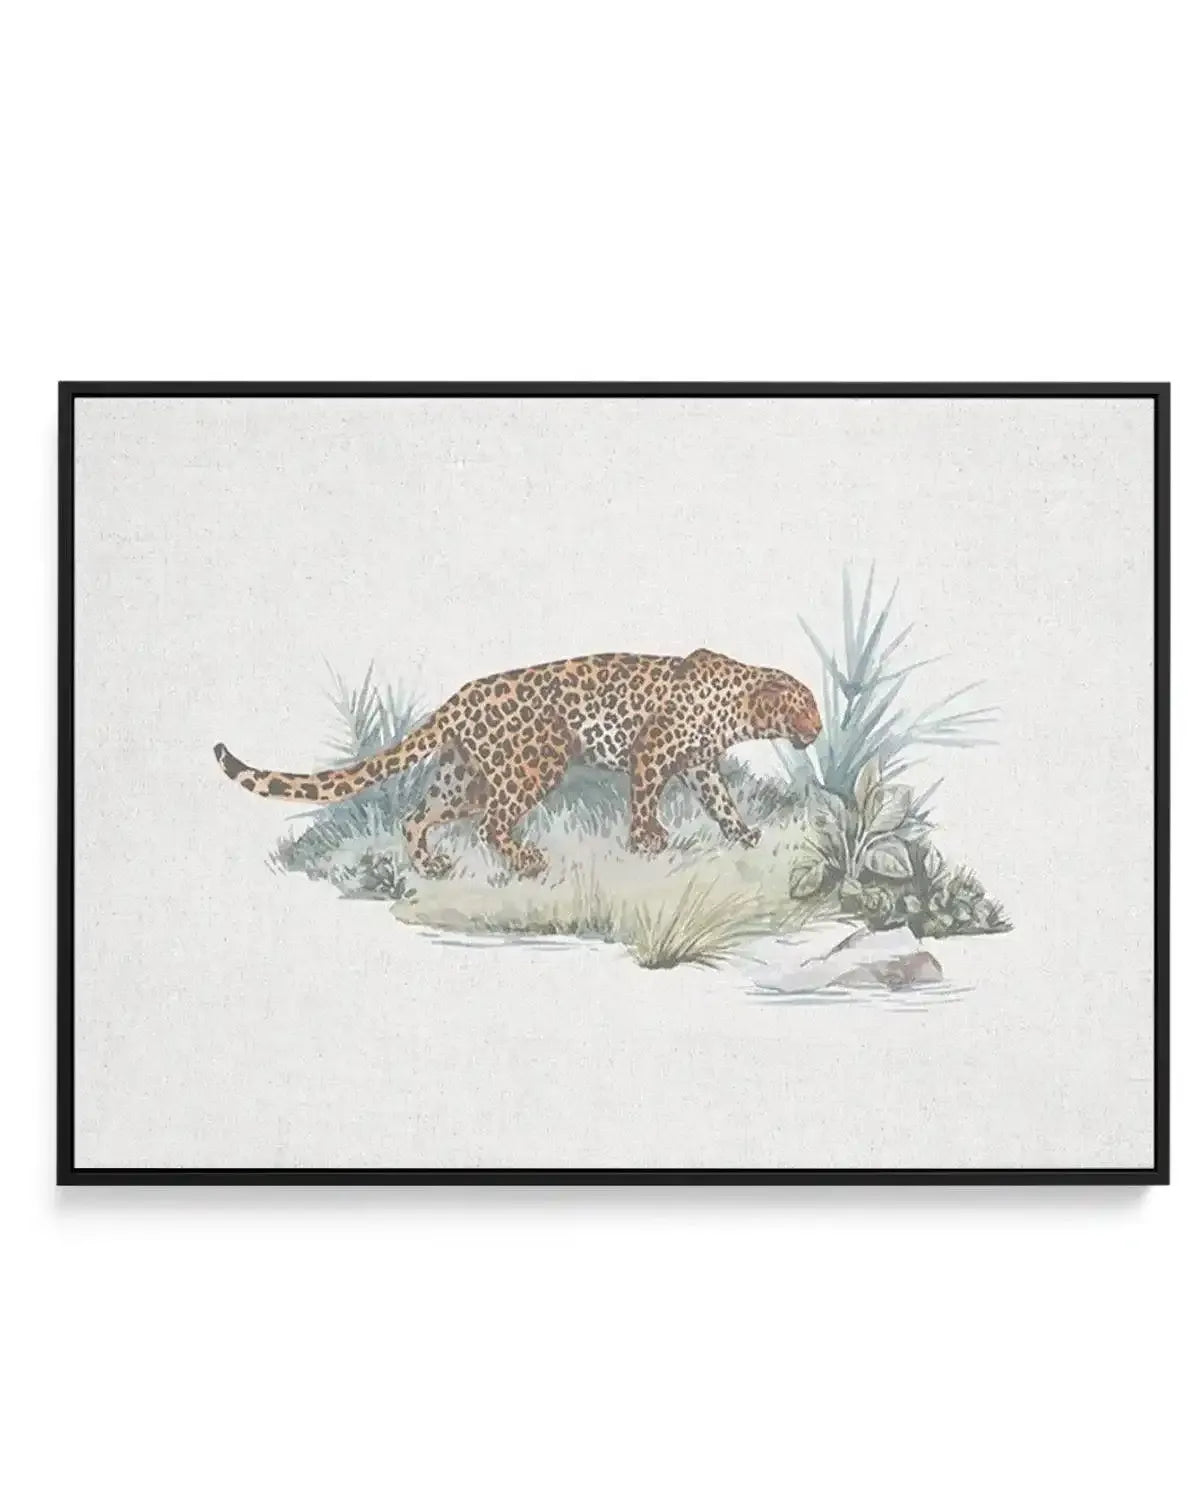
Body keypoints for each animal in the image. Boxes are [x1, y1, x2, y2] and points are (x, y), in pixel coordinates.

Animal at [214, 647, 821, 879]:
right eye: (805, 706)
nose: (817, 730)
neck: (735, 705)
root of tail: (458, 699)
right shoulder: (652, 753)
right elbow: (645, 800)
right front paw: (649, 842)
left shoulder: (700, 765)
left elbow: (722, 802)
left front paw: (745, 835)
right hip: (534, 762)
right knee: (491, 824)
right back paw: (528, 861)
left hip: (462, 778)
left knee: (416, 817)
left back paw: (431, 866)